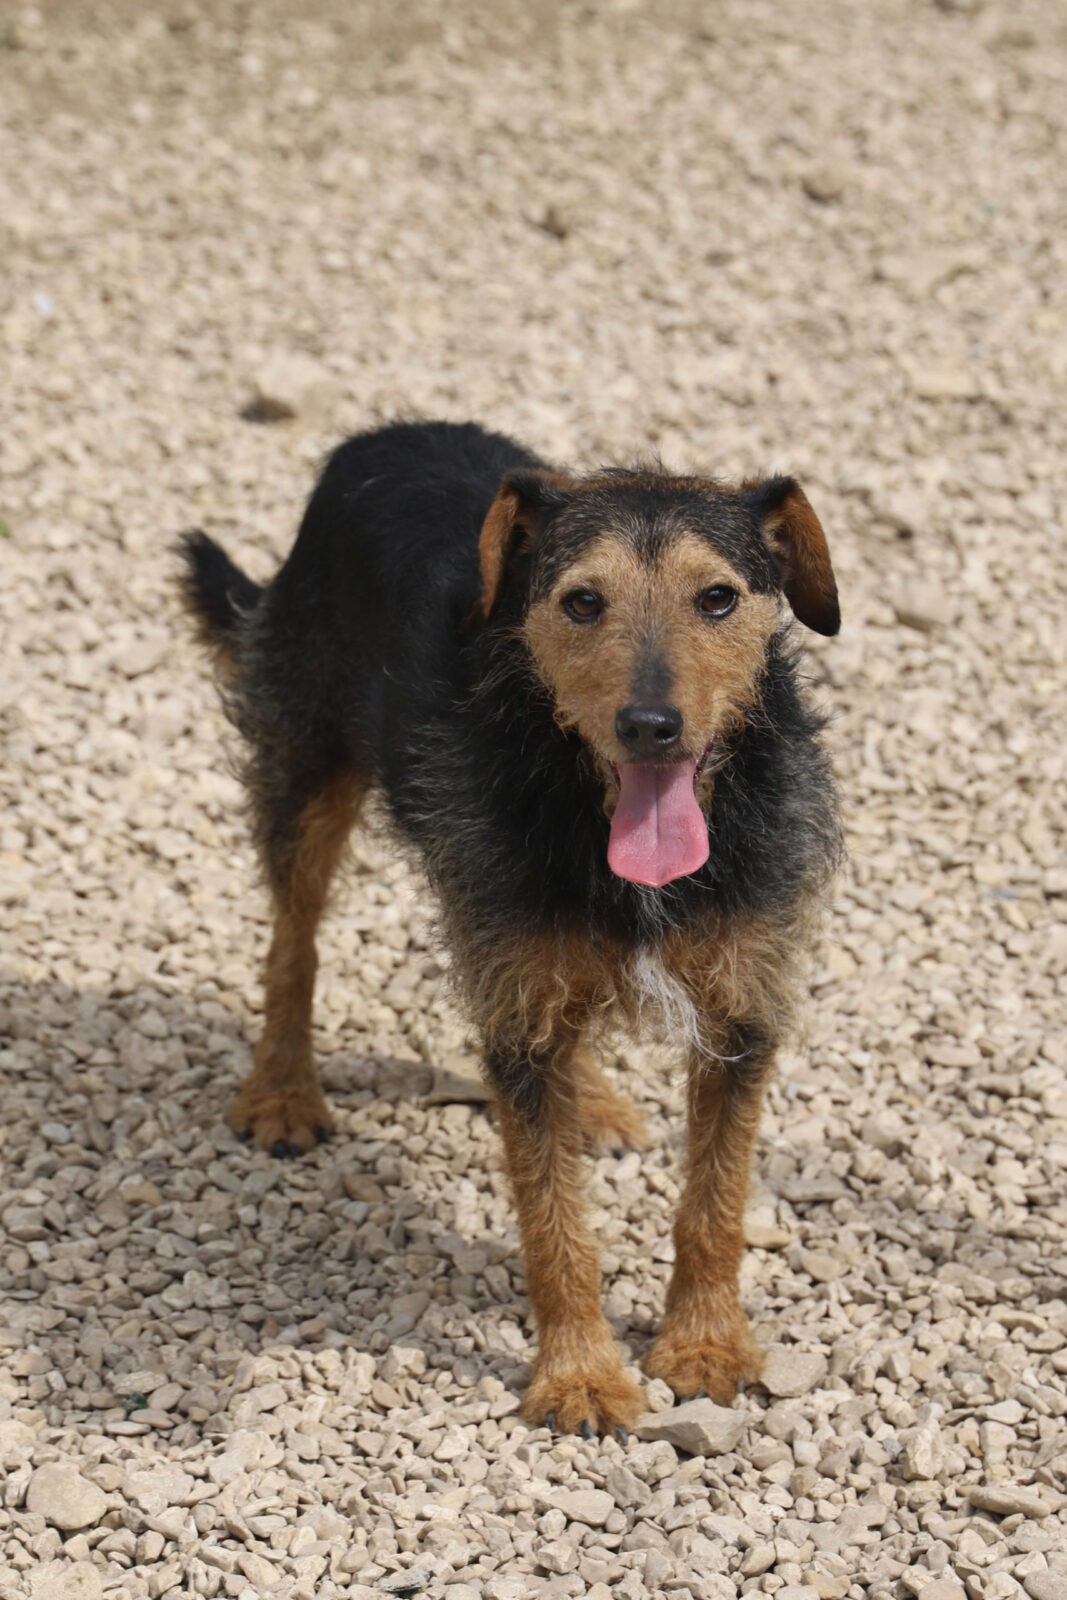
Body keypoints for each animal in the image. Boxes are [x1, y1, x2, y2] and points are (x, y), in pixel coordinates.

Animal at [179, 416, 844, 1440]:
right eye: (581, 602)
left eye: (717, 598)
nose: (650, 725)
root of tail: (389, 433)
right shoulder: (517, 1023)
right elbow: (552, 1223)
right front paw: (579, 1378)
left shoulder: (743, 1010)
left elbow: (715, 1200)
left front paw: (702, 1348)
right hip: (307, 767)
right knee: (294, 943)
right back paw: (283, 1091)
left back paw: (596, 1105)